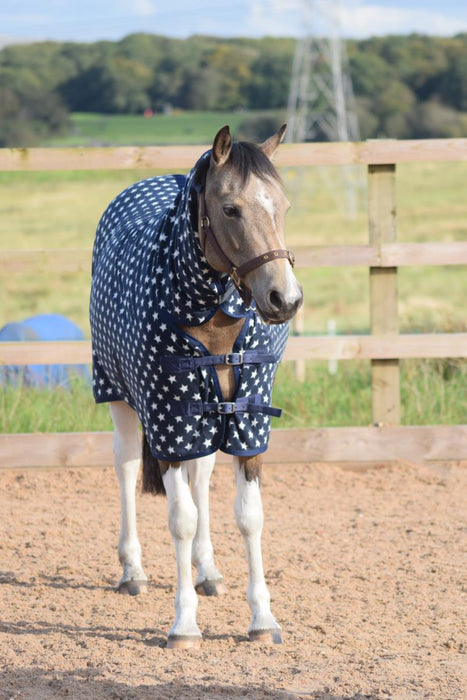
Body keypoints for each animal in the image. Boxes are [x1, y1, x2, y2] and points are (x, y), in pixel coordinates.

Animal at [90, 123, 306, 648]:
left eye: (284, 205)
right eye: (231, 209)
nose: (285, 299)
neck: (213, 323)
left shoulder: (246, 420)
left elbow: (249, 515)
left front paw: (263, 618)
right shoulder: (167, 421)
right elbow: (180, 519)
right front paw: (184, 624)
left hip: (205, 418)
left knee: (202, 476)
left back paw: (206, 570)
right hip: (120, 397)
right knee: (126, 466)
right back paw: (133, 571)